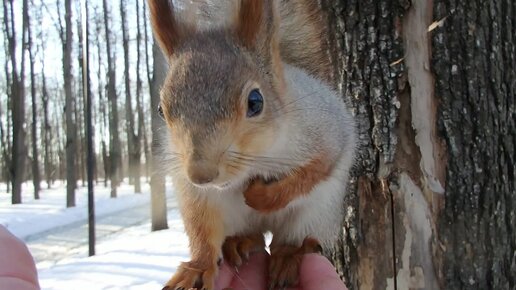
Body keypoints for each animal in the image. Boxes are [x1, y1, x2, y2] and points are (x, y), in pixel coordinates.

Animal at [149, 0, 356, 288]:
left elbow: (314, 171)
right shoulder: (194, 192)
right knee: (243, 234)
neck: (257, 158)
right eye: (161, 110)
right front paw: (199, 266)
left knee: (290, 238)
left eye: (256, 101)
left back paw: (288, 256)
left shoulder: (327, 134)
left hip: (317, 215)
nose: (201, 175)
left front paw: (261, 196)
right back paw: (238, 243)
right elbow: (202, 229)